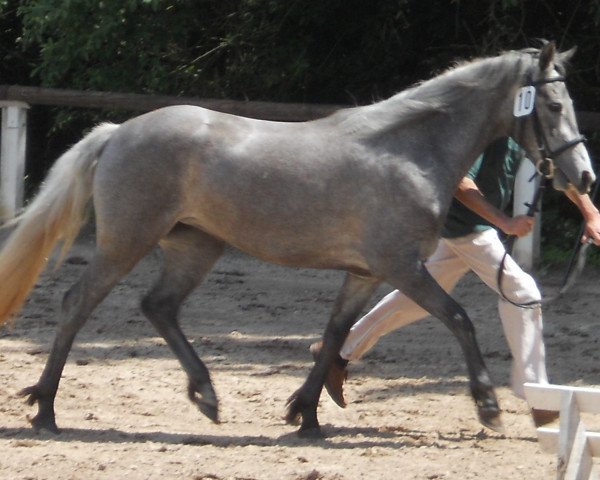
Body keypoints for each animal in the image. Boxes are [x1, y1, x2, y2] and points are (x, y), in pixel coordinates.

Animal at [0, 43, 592, 436]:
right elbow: (459, 318)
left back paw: (208, 397)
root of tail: (117, 133)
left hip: (195, 246)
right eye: (554, 107)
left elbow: (333, 334)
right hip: (127, 241)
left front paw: (305, 414)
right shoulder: (401, 267)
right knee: (77, 303)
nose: (584, 178)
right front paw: (488, 407)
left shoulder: (364, 273)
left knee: (159, 306)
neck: (407, 151)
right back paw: (45, 410)